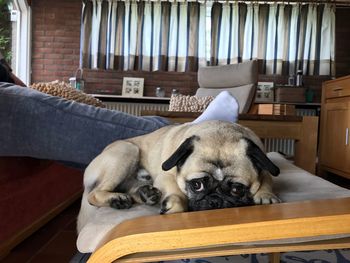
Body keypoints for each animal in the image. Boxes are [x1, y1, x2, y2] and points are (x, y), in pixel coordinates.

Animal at [78, 120, 280, 232]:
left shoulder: (265, 167)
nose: (215, 200)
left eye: (237, 189)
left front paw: (266, 195)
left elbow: (267, 179)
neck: (219, 132)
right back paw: (116, 199)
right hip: (127, 150)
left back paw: (145, 194)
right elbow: (176, 194)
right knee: (94, 194)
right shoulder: (166, 177)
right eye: (197, 185)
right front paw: (174, 203)